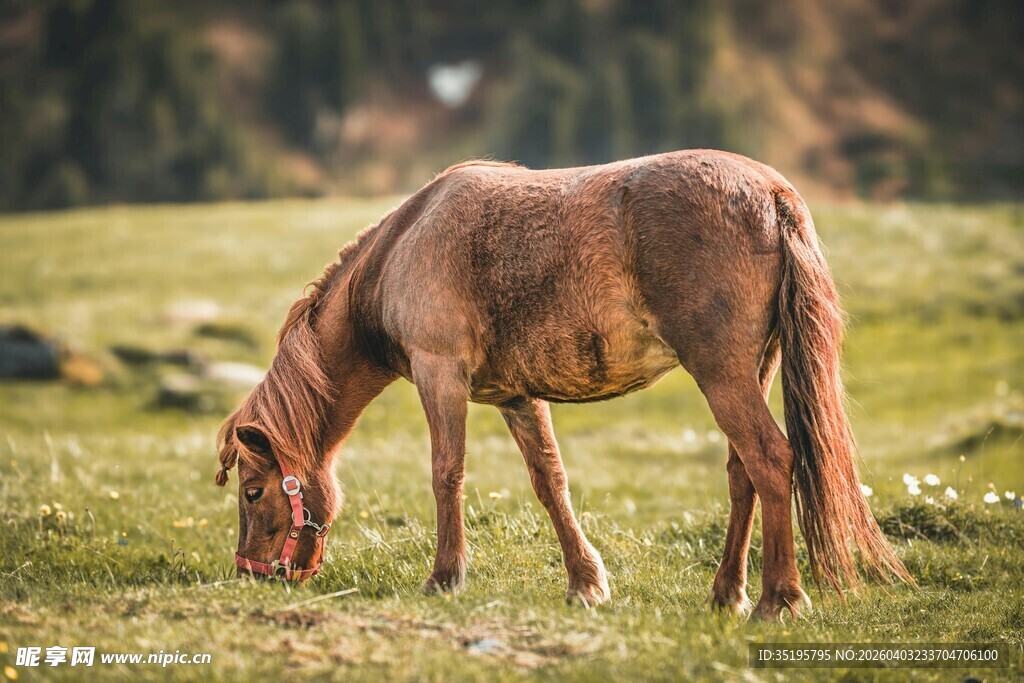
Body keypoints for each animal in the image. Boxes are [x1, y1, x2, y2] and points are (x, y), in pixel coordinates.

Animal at [215, 149, 912, 620]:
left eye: (253, 492)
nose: (254, 575)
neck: (402, 248)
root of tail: (771, 192)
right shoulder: (516, 396)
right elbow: (550, 483)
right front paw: (586, 583)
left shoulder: (441, 375)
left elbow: (446, 473)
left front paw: (445, 578)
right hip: (752, 372)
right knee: (745, 473)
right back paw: (727, 594)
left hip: (723, 375)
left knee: (771, 460)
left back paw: (779, 599)